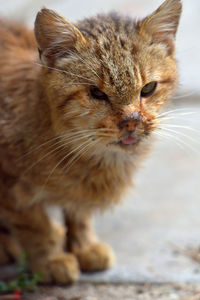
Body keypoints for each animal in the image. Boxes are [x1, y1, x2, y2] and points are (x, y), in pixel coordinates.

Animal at [0, 0, 181, 284]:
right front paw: (51, 259)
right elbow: (35, 225)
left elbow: (79, 214)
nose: (131, 121)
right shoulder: (10, 187)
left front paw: (83, 246)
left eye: (148, 89)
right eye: (96, 93)